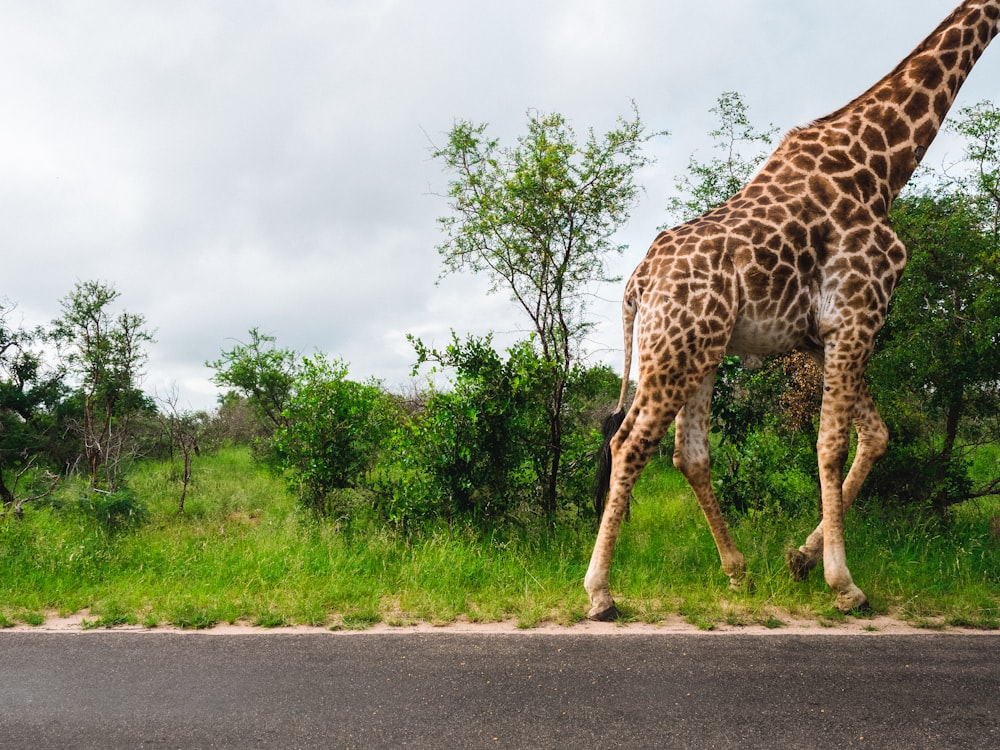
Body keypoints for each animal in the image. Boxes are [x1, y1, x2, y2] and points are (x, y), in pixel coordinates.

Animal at [584, 0, 1000, 624]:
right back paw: (601, 592)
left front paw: (801, 559)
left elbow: (875, 437)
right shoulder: (856, 315)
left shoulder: (823, 336)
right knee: (630, 445)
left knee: (689, 455)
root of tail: (638, 283)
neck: (880, 166)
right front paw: (843, 583)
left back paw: (738, 571)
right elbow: (831, 444)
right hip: (675, 353)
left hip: (700, 354)